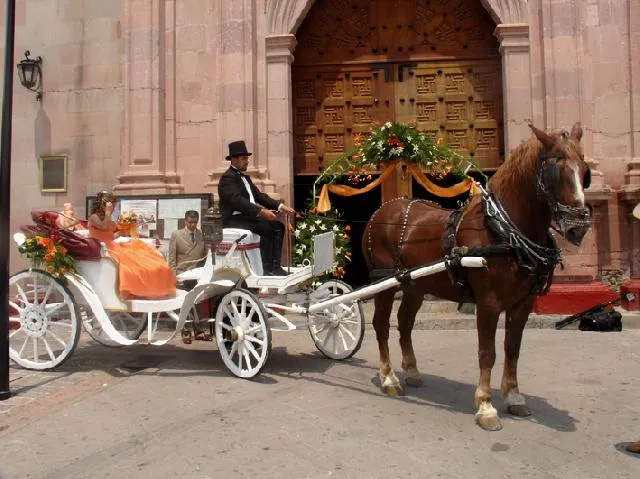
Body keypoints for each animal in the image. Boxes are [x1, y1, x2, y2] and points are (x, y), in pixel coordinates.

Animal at [362, 124, 592, 432]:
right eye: (555, 171)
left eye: (585, 172)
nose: (578, 228)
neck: (504, 232)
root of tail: (381, 212)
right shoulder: (488, 304)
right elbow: (488, 353)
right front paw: (485, 407)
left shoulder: (523, 304)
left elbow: (512, 349)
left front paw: (514, 396)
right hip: (385, 283)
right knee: (381, 325)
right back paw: (389, 378)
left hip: (414, 285)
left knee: (405, 323)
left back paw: (411, 371)